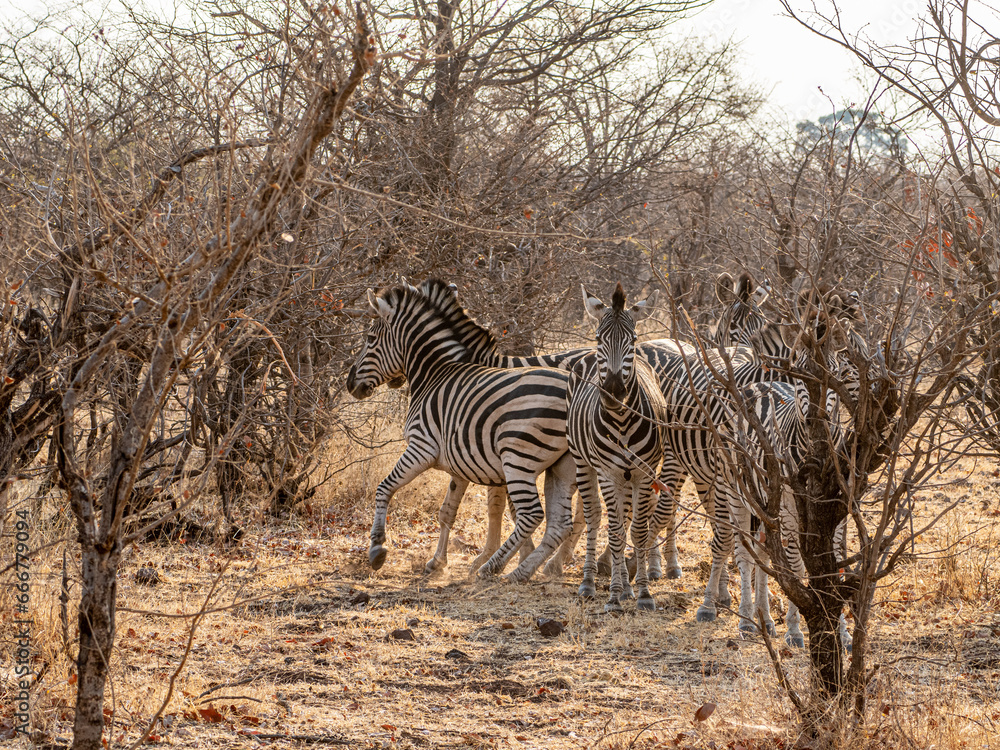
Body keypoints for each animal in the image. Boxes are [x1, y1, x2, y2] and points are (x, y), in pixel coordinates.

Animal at [345, 279, 577, 582]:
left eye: (370, 339)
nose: (350, 384)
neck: (434, 374)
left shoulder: (422, 447)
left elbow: (385, 487)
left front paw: (376, 548)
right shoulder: (459, 463)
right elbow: (448, 511)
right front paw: (436, 563)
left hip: (518, 458)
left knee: (532, 515)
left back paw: (495, 567)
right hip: (563, 464)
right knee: (560, 523)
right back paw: (522, 572)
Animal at [568, 283, 667, 613]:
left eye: (633, 340)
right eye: (600, 338)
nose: (612, 392)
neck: (622, 420)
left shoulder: (643, 474)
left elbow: (636, 530)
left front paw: (643, 593)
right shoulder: (608, 474)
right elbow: (613, 532)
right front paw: (612, 597)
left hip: (627, 477)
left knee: (623, 520)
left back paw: (626, 588)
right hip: (582, 463)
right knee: (594, 516)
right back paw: (590, 583)